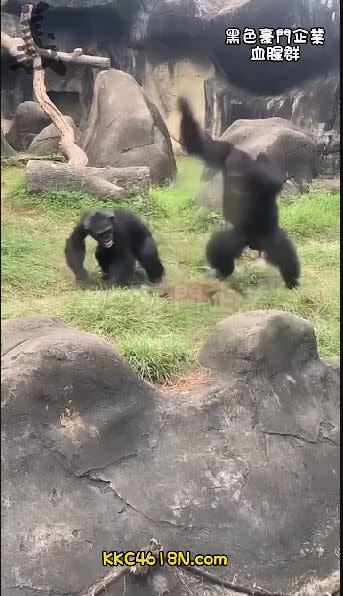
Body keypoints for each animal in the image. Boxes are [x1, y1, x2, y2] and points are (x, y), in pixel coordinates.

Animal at [177, 98, 300, 288]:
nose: (236, 174)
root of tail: (253, 243)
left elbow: (272, 181)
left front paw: (263, 159)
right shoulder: (223, 153)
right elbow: (199, 146)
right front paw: (184, 107)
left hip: (267, 235)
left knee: (283, 251)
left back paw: (292, 280)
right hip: (236, 236)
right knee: (220, 248)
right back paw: (222, 271)